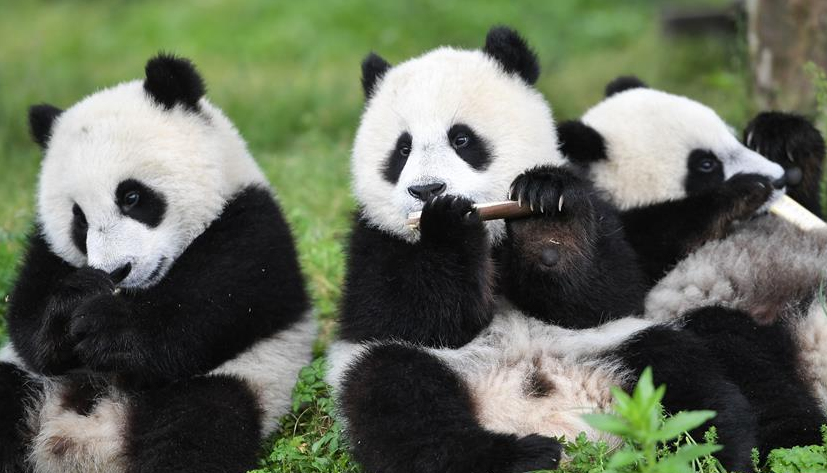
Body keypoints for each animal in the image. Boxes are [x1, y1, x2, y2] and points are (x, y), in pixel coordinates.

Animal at [0, 55, 315, 473]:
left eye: (131, 197)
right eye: (78, 219)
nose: (116, 271)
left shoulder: (254, 227)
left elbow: (205, 311)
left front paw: (106, 326)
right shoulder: (46, 249)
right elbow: (27, 320)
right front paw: (73, 304)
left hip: (242, 379)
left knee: (199, 425)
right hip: (27, 381)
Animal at [327, 27, 762, 473]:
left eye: (461, 139)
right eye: (402, 150)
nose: (427, 189)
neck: (492, 233)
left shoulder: (598, 210)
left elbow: (606, 292)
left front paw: (546, 215)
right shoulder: (373, 239)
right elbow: (409, 316)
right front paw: (447, 226)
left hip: (618, 347)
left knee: (688, 384)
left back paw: (707, 456)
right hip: (420, 370)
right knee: (400, 400)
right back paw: (521, 455)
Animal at [558, 78, 827, 454]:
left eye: (730, 134)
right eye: (706, 165)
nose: (778, 179)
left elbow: (808, 209)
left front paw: (782, 137)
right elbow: (616, 283)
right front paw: (742, 192)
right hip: (717, 322)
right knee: (754, 376)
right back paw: (801, 441)